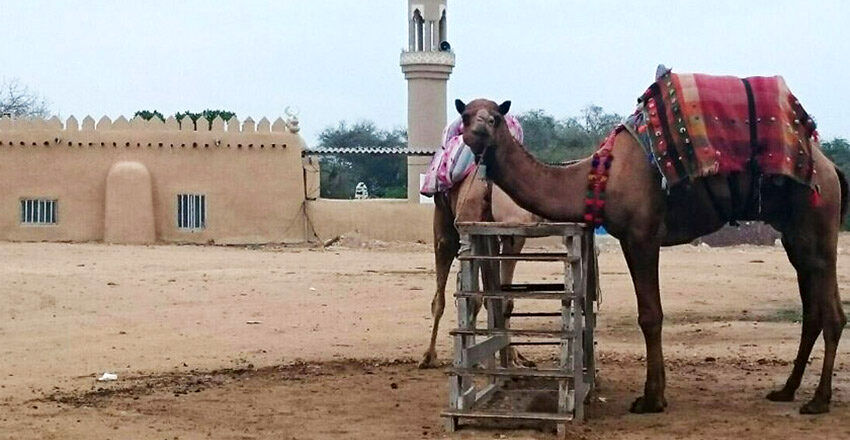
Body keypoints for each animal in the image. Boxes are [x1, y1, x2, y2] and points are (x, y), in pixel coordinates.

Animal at [420, 170, 536, 370]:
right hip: (508, 234)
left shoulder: (447, 225)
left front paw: (430, 356)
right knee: (498, 298)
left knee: (469, 298)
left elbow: (443, 301)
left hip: (470, 226)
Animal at [458, 97, 848, 416]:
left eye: (495, 117)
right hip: (795, 234)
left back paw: (819, 400)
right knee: (813, 311)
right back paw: (787, 390)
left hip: (816, 223)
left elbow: (650, 316)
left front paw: (650, 399)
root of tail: (831, 169)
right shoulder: (636, 238)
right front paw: (656, 394)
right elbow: (651, 314)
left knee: (831, 312)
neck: (598, 175)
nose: (478, 131)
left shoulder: (641, 236)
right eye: (465, 115)